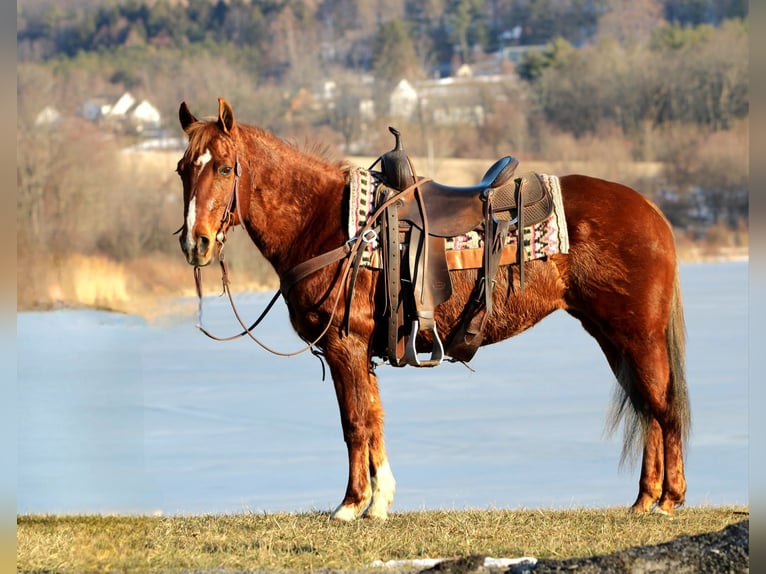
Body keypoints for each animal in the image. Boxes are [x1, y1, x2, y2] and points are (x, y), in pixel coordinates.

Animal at [175, 98, 690, 521]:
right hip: (613, 336)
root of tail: (651, 211)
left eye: (225, 168)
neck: (323, 222)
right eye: (183, 169)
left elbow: (354, 423)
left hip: (637, 334)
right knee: (645, 405)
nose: (195, 241)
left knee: (662, 404)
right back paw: (645, 498)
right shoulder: (362, 351)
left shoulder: (345, 345)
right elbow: (373, 418)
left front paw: (351, 504)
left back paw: (670, 497)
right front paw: (379, 502)